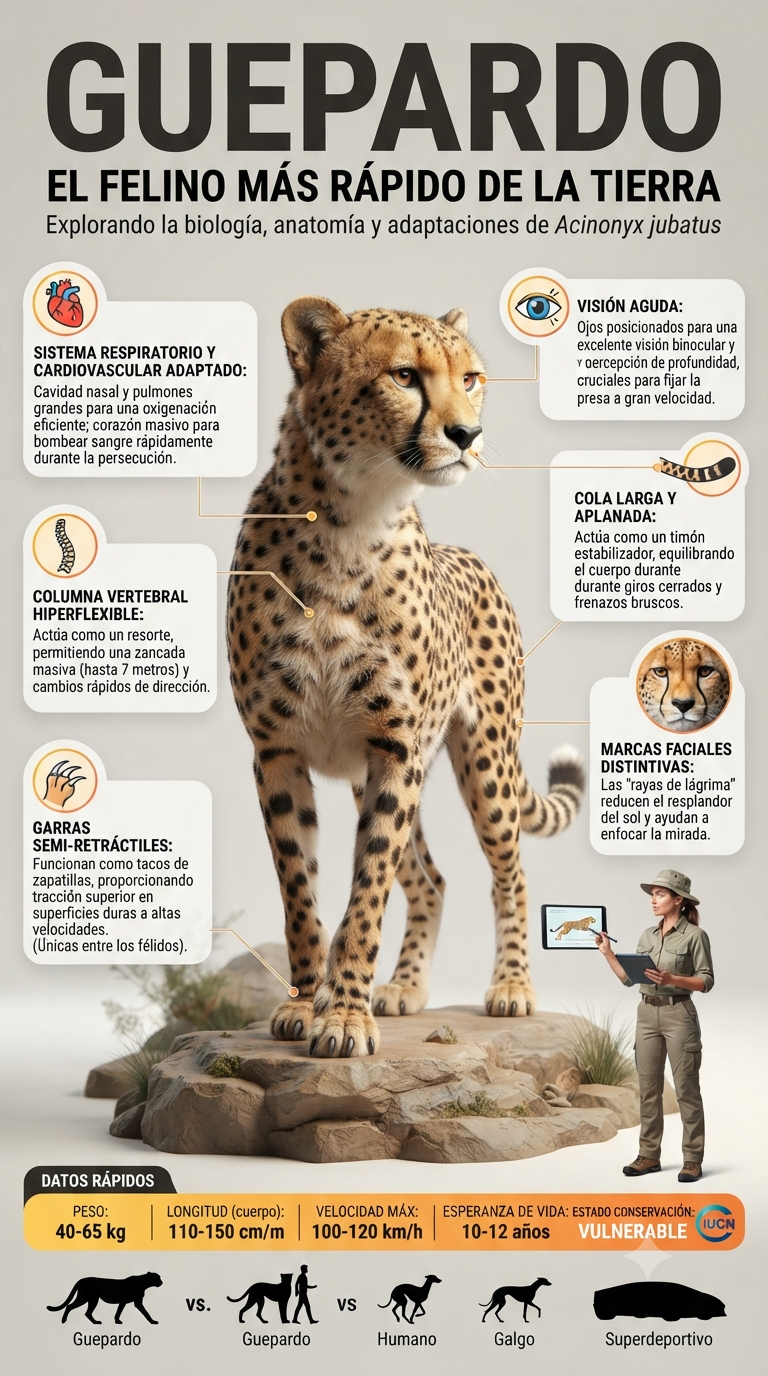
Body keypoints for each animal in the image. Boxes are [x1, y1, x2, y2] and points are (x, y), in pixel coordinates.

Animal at [227, 296, 585, 1059]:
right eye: (404, 376)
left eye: (471, 378)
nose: (468, 433)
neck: (348, 523)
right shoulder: (279, 750)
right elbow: (300, 892)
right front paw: (306, 1001)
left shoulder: (394, 745)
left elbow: (367, 893)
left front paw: (343, 1015)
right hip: (381, 772)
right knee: (431, 877)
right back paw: (405, 988)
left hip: (482, 761)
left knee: (508, 872)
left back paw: (511, 986)